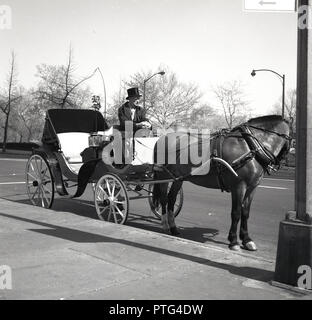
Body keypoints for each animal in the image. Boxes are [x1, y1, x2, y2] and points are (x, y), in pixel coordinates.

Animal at [152, 115, 292, 252]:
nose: (280, 164)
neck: (251, 146)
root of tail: (162, 137)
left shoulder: (252, 187)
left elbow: (245, 212)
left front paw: (246, 240)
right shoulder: (238, 186)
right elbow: (236, 212)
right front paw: (234, 241)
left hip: (178, 178)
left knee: (171, 199)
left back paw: (173, 228)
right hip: (164, 175)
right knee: (164, 199)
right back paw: (165, 225)